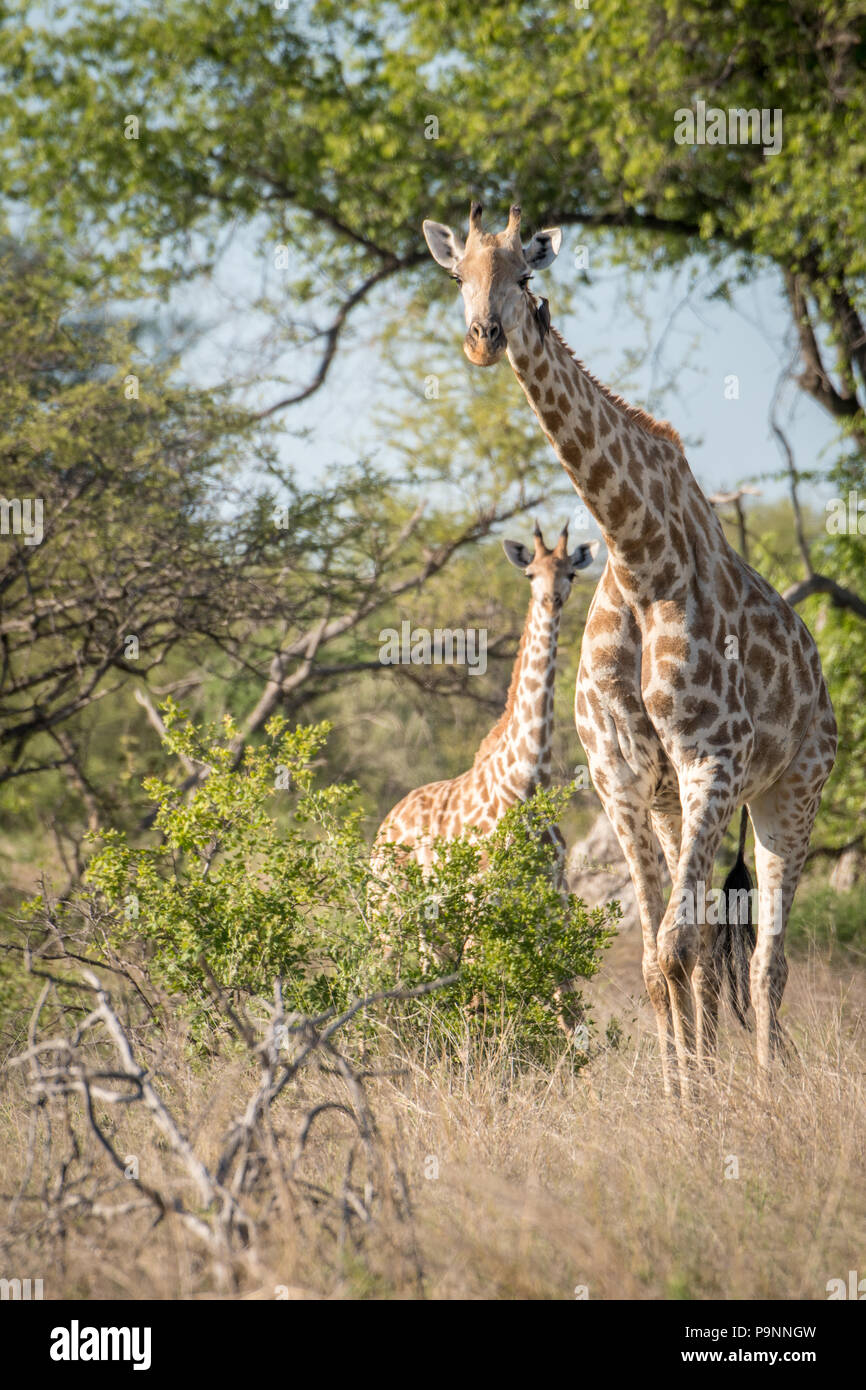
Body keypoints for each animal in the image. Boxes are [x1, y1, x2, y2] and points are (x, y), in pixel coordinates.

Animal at [422, 202, 839, 1095]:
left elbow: (679, 950)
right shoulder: (620, 778)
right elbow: (656, 960)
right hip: (677, 803)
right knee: (709, 948)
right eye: (458, 275)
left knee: (767, 962)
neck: (640, 552)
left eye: (525, 275)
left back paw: (762, 1085)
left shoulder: (712, 760)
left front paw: (707, 1101)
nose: (483, 338)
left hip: (792, 791)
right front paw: (682, 1097)